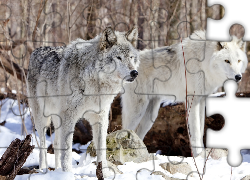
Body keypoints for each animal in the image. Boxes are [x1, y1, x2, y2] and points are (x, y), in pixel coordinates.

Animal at [27, 26, 141, 177]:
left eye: (131, 57)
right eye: (118, 57)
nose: (134, 73)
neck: (94, 83)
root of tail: (36, 50)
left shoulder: (100, 117)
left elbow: (101, 149)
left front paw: (104, 173)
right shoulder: (69, 117)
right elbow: (67, 152)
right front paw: (67, 175)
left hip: (58, 118)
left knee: (56, 144)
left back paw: (57, 170)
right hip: (42, 118)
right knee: (43, 145)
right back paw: (43, 170)